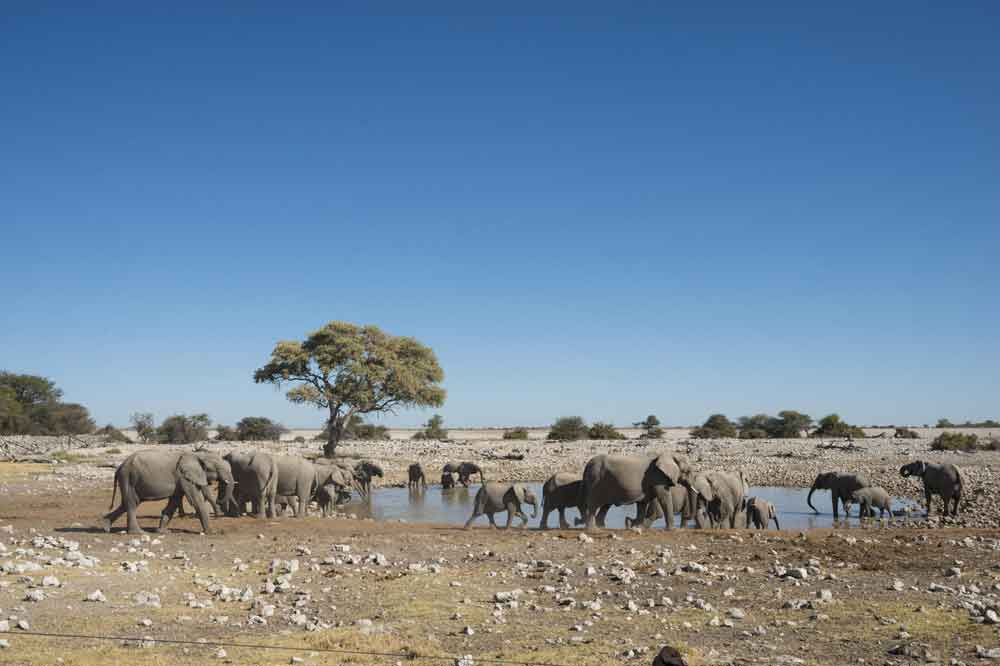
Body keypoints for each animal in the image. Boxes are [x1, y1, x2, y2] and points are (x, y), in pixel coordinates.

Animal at [104, 446, 234, 536]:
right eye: (217, 468)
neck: (196, 455)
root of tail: (119, 467)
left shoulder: (182, 480)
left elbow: (174, 502)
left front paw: (163, 532)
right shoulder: (185, 477)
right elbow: (196, 501)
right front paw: (212, 533)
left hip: (129, 480)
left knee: (127, 503)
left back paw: (106, 527)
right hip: (128, 478)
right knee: (131, 504)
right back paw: (138, 533)